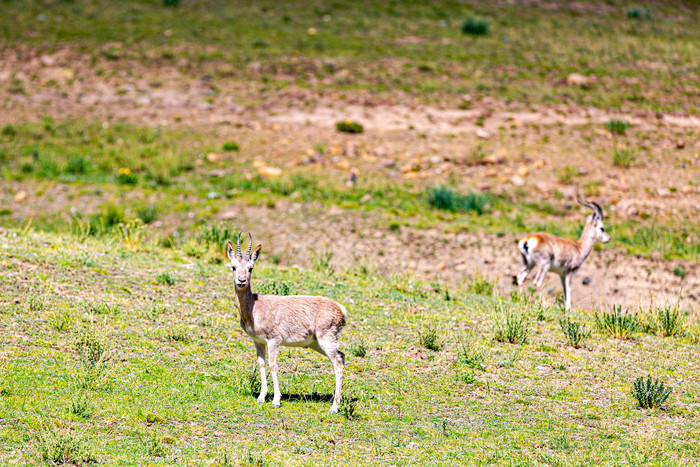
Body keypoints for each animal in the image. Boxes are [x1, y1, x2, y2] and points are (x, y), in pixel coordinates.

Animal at [228, 234, 346, 414]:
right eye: (233, 267)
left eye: (251, 268)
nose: (241, 281)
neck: (255, 306)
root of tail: (339, 308)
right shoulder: (258, 341)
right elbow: (261, 363)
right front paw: (261, 397)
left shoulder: (274, 340)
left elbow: (273, 365)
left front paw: (276, 400)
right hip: (317, 344)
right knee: (342, 356)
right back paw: (334, 400)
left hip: (326, 341)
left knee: (338, 363)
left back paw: (334, 407)